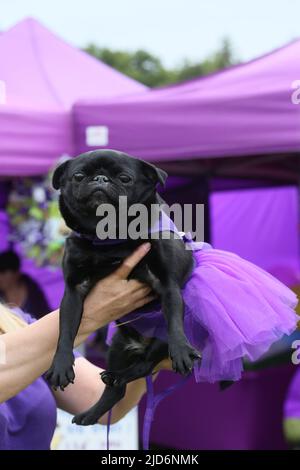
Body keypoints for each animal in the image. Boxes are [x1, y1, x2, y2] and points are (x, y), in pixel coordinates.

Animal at [45, 151, 200, 426]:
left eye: (125, 178)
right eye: (78, 176)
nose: (100, 179)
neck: (109, 237)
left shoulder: (168, 285)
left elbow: (174, 323)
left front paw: (181, 350)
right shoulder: (73, 291)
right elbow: (65, 331)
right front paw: (61, 365)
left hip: (157, 341)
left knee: (145, 365)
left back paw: (120, 375)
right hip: (117, 346)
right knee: (116, 391)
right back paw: (91, 412)